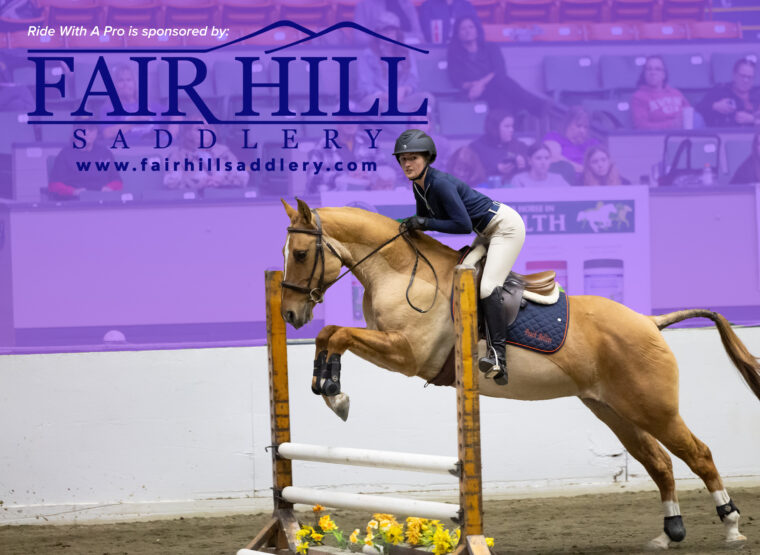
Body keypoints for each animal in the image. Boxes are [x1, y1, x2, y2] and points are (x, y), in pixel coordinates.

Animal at [279, 198, 760, 550]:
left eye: (300, 254)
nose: (290, 314)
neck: (402, 272)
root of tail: (649, 321)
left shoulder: (407, 353)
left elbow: (338, 333)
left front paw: (334, 392)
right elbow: (330, 334)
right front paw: (328, 386)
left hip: (653, 407)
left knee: (698, 454)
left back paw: (732, 525)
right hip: (614, 409)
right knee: (659, 461)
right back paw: (668, 533)